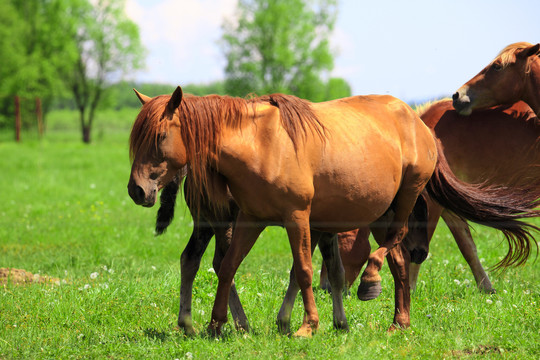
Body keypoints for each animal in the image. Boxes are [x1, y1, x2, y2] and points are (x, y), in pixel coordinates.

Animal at [127, 87, 540, 338]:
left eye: (159, 137)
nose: (136, 190)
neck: (259, 145)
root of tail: (418, 121)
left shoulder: (298, 218)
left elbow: (304, 271)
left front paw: (306, 325)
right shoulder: (250, 219)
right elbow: (228, 267)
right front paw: (215, 325)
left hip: (403, 200)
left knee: (394, 246)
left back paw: (374, 286)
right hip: (377, 211)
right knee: (400, 260)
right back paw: (399, 321)